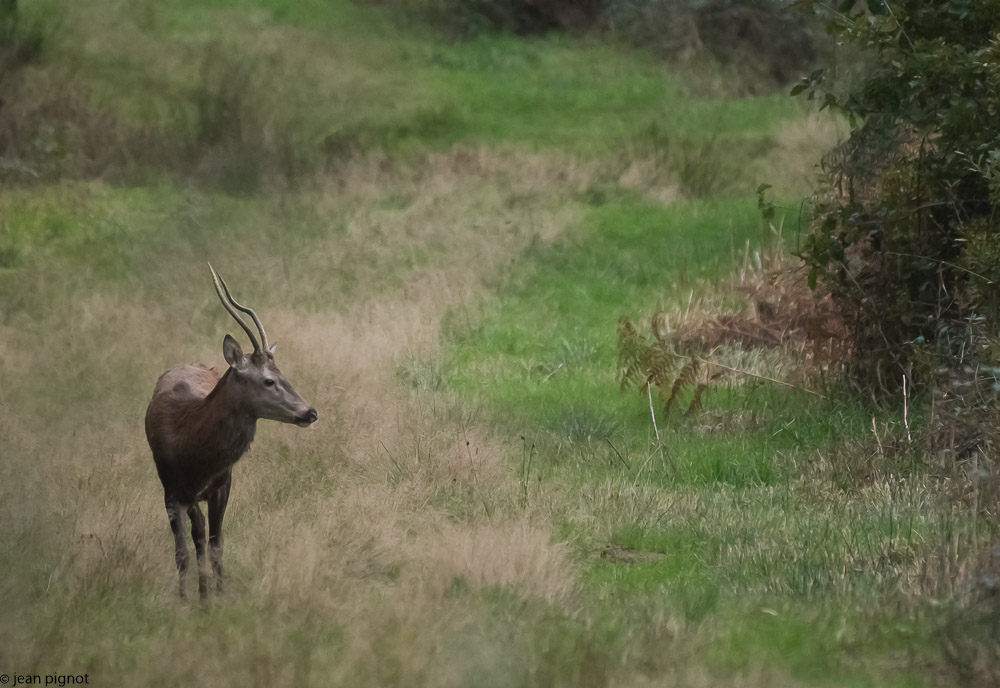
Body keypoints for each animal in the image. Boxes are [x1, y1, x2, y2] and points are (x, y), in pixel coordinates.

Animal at [143, 266, 316, 600]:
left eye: (283, 374)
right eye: (268, 380)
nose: (310, 412)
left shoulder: (222, 483)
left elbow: (216, 545)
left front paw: (218, 597)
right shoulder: (173, 490)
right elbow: (186, 551)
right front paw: (189, 601)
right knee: (190, 543)